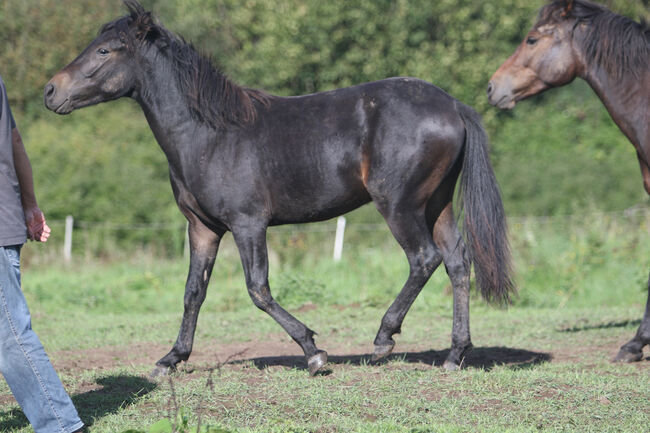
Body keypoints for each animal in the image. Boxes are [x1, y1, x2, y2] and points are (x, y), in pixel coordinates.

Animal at [44, 0, 512, 374]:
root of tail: (452, 105)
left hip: (400, 206)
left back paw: (384, 339)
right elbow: (194, 292)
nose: (50, 91)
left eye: (105, 50)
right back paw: (454, 354)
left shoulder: (248, 224)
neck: (209, 134)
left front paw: (313, 352)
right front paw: (171, 359)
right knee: (457, 263)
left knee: (424, 259)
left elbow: (258, 289)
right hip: (436, 205)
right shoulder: (203, 228)